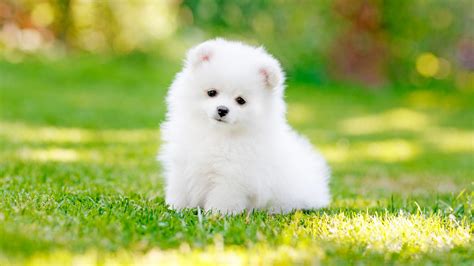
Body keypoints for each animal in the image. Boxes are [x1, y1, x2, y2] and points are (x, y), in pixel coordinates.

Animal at [159, 38, 330, 214]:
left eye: (240, 100)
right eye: (212, 92)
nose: (222, 110)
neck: (217, 134)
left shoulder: (232, 176)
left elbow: (222, 198)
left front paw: (216, 214)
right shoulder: (182, 165)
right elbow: (180, 189)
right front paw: (176, 208)